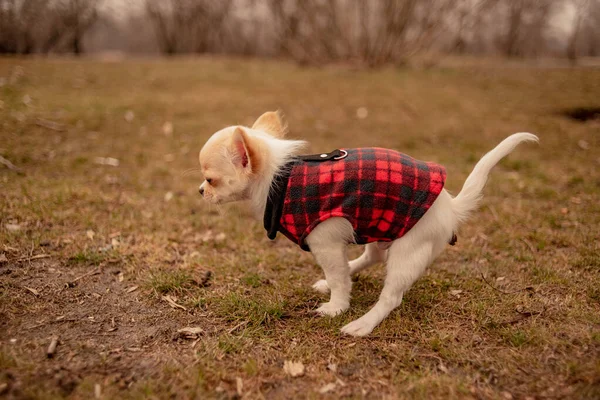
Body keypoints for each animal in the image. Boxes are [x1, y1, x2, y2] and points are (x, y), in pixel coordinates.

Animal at [198, 111, 540, 336]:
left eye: (210, 179)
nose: (200, 191)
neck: (278, 181)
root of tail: (450, 207)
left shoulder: (325, 242)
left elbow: (337, 278)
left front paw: (337, 307)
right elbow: (339, 274)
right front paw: (335, 290)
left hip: (408, 250)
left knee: (391, 297)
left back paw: (362, 324)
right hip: (382, 228)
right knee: (371, 257)